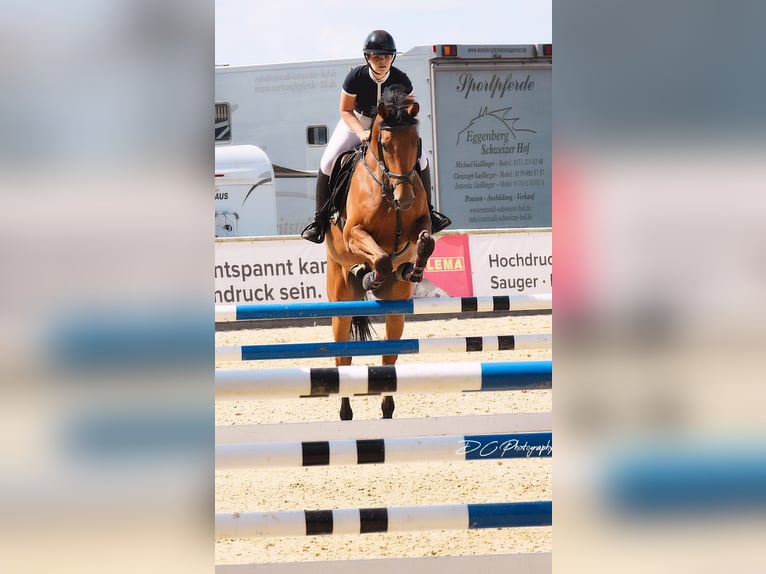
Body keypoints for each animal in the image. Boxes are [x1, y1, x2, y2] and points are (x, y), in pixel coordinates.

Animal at [324, 85, 435, 421]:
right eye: (385, 144)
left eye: (416, 142)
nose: (405, 198)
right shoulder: (354, 233)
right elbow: (382, 257)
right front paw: (369, 275)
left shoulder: (421, 225)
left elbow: (425, 242)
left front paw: (413, 269)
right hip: (339, 300)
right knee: (343, 359)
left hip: (396, 308)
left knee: (389, 356)